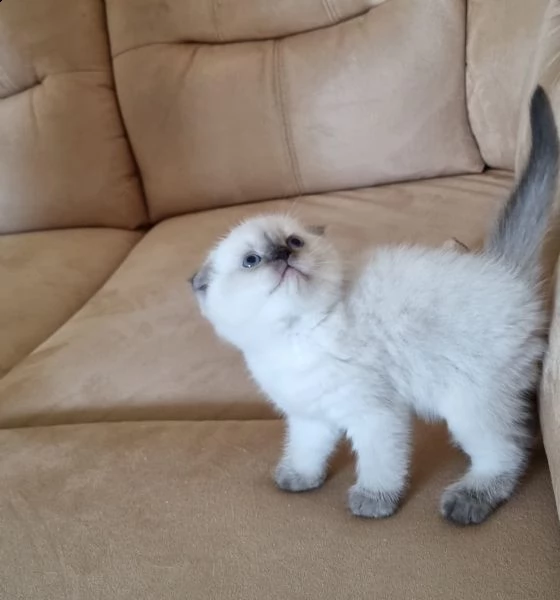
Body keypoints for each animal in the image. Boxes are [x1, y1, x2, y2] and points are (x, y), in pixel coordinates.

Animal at [190, 85, 556, 524]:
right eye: (251, 261)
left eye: (294, 242)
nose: (283, 255)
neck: (296, 337)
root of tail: (503, 269)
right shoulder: (310, 416)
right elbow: (306, 451)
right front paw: (299, 478)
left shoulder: (375, 413)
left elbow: (380, 463)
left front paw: (373, 500)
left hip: (469, 401)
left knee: (509, 450)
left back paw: (469, 499)